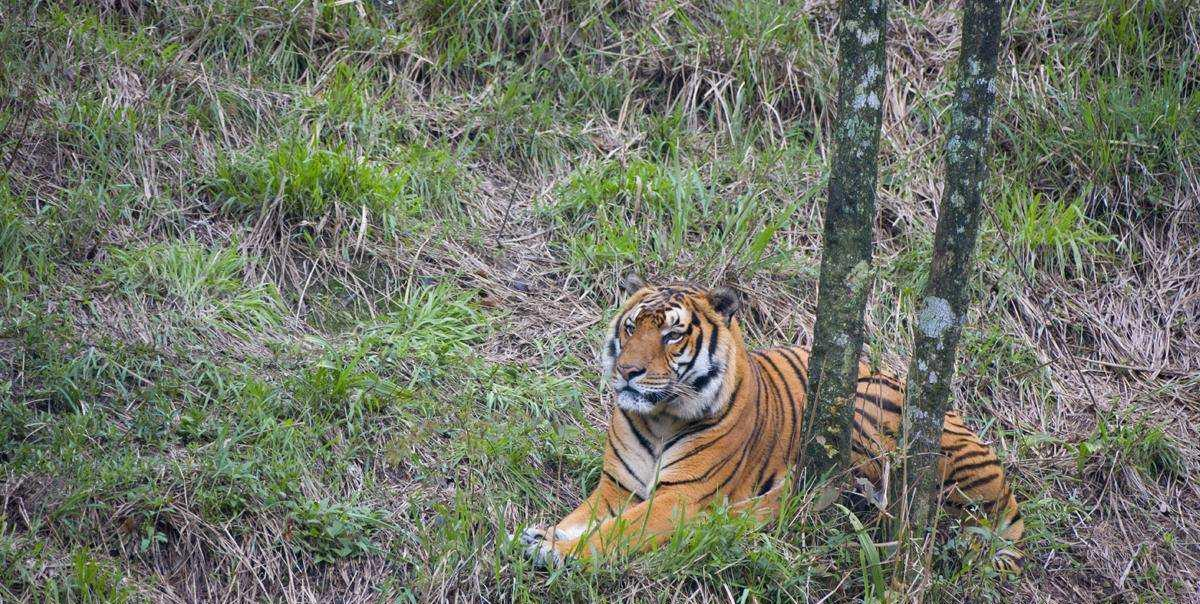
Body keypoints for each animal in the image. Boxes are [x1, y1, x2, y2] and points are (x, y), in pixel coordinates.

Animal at [518, 276, 1024, 573]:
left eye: (672, 334)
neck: (660, 417)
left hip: (863, 410)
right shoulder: (616, 487)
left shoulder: (679, 498)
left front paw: (557, 551)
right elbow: (580, 517)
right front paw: (546, 533)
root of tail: (1007, 488)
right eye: (630, 327)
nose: (627, 372)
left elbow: (619, 531)